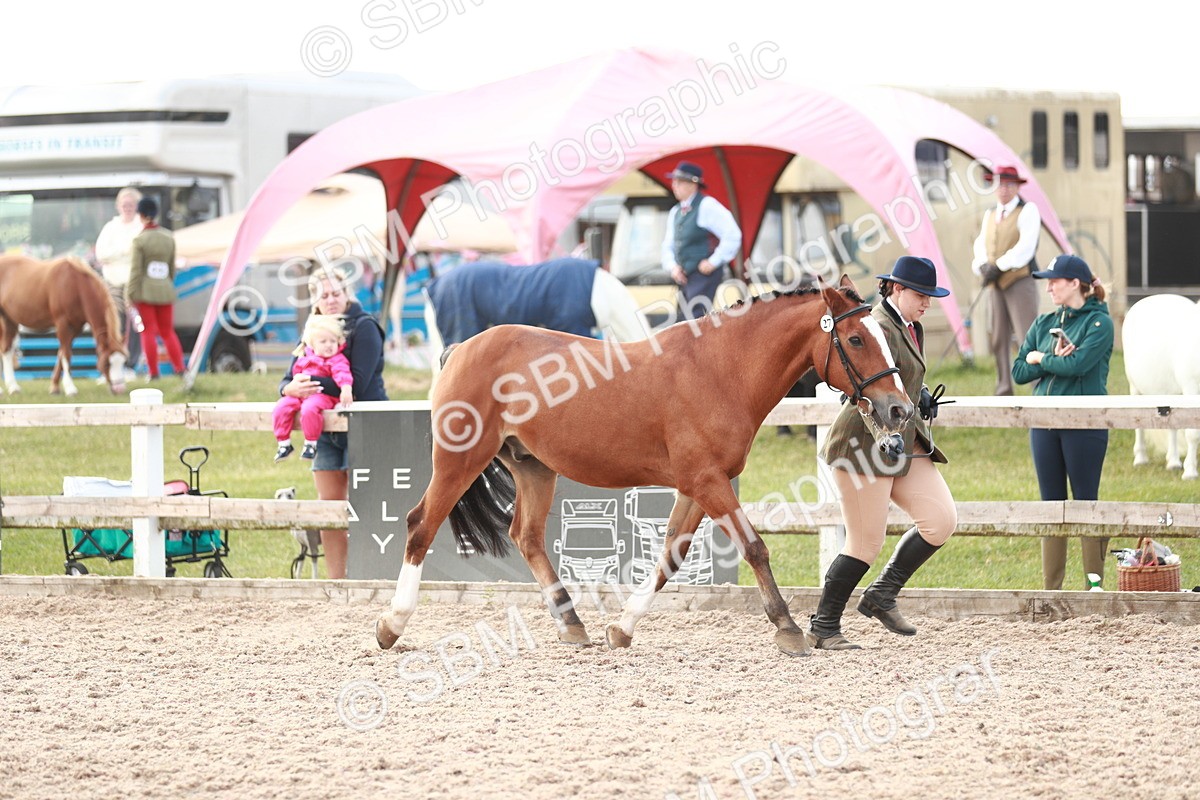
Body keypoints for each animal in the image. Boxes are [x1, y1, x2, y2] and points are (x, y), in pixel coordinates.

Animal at [0, 255, 128, 396]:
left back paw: (13, 387)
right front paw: (70, 388)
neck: (75, 285)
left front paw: (55, 387)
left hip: (10, 320)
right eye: (106, 363)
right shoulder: (63, 325)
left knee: (6, 350)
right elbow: (66, 354)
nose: (119, 389)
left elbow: (62, 354)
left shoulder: (75, 328)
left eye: (123, 361)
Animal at [375, 274, 912, 657]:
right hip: (459, 458)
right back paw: (391, 625)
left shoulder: (698, 485)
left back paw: (573, 624)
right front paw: (787, 627)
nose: (899, 410)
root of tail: (462, 348)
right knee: (421, 526)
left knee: (526, 536)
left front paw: (621, 628)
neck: (720, 369)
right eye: (857, 340)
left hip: (533, 468)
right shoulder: (707, 480)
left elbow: (670, 556)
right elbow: (755, 547)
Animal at [1123, 293, 1200, 480]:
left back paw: (1173, 462)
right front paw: (1190, 472)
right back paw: (1141, 459)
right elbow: (1193, 433)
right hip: (1135, 388)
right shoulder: (1192, 389)